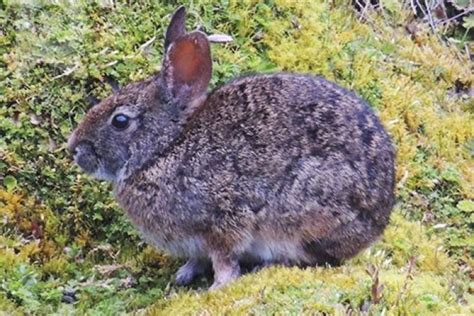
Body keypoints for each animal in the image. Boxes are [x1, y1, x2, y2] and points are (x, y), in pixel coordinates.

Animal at [67, 6, 396, 288]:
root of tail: (378, 220)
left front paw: (217, 286)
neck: (166, 149)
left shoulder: (223, 220)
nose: (74, 148)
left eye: (120, 121)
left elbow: (225, 258)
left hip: (306, 205)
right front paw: (185, 273)